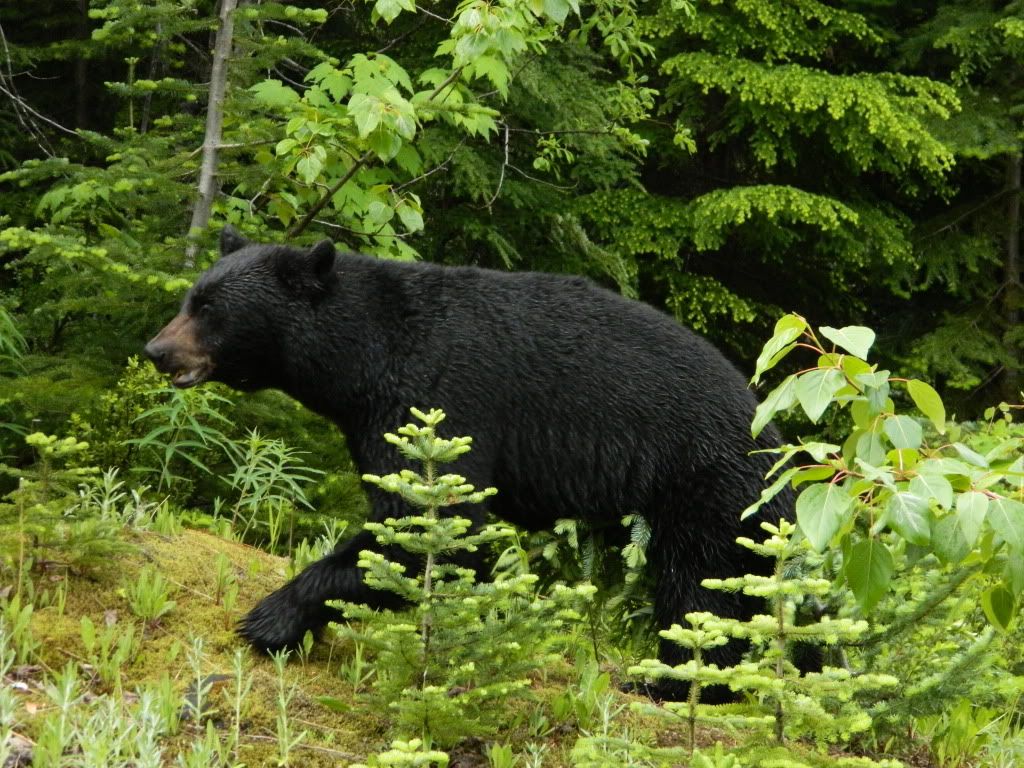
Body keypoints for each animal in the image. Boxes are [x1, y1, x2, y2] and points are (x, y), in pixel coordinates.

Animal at [145, 226, 789, 691]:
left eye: (210, 309)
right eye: (190, 298)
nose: (156, 350)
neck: (362, 360)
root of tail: (773, 430)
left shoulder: (433, 394)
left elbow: (427, 520)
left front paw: (271, 618)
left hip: (705, 483)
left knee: (702, 588)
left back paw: (670, 682)